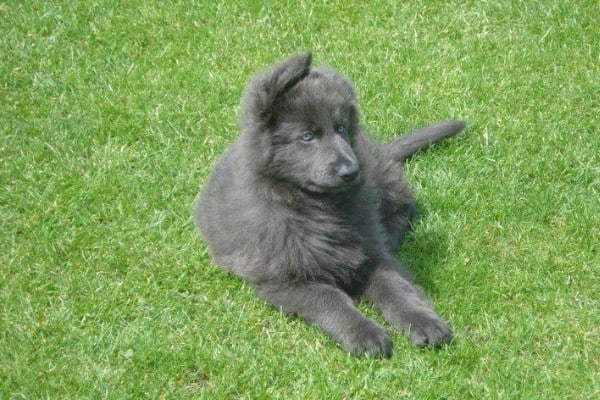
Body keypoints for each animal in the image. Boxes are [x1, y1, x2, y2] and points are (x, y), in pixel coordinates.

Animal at [195, 54, 466, 360]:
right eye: (307, 137)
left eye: (341, 128)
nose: (352, 171)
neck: (316, 208)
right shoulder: (284, 281)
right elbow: (331, 299)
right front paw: (364, 332)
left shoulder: (371, 255)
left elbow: (396, 287)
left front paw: (422, 320)